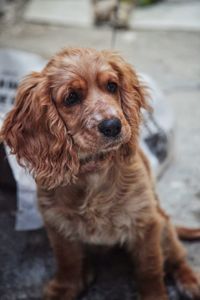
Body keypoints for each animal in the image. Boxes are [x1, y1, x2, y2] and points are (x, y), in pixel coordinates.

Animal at [1, 48, 200, 298]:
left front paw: (154, 294)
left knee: (176, 256)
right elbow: (67, 262)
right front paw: (64, 288)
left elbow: (150, 268)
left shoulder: (146, 222)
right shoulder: (58, 224)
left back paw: (190, 281)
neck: (93, 171)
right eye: (71, 98)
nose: (113, 126)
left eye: (112, 86)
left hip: (164, 224)